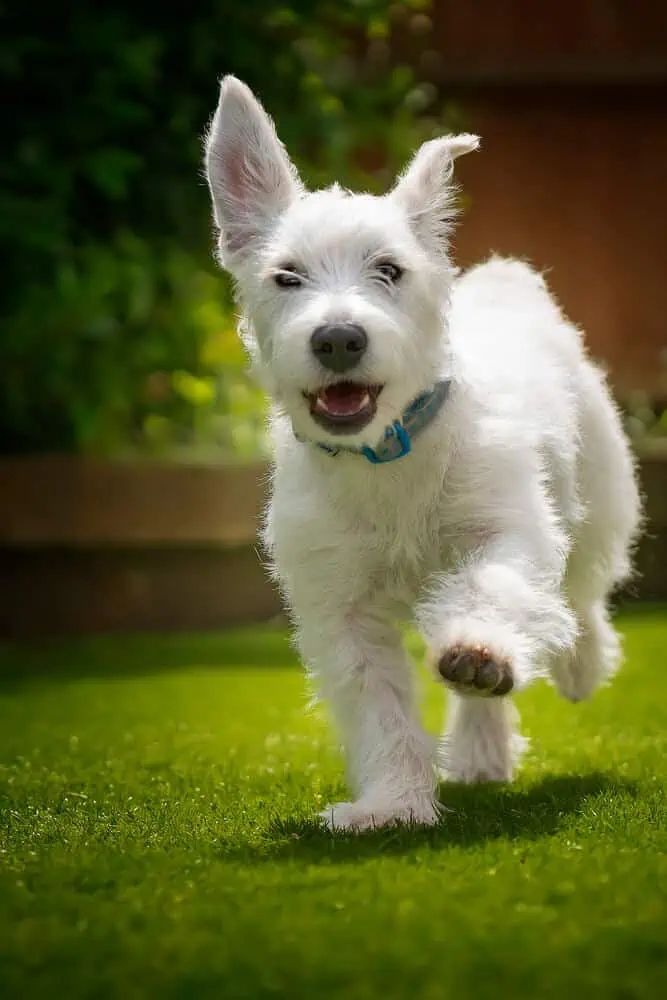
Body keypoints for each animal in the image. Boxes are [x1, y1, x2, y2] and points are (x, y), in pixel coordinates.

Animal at [204, 76, 640, 828]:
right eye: (287, 277)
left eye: (389, 270)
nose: (338, 338)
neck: (389, 454)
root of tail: (507, 282)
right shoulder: (340, 606)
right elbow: (378, 706)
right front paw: (393, 805)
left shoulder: (506, 531)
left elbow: (493, 588)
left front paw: (479, 650)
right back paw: (481, 750)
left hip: (599, 500)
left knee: (581, 594)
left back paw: (576, 664)